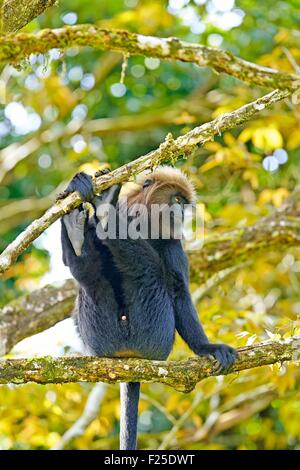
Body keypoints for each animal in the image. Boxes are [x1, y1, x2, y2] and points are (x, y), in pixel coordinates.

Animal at [59, 167, 236, 450]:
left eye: (184, 204)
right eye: (177, 201)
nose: (182, 213)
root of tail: (128, 356)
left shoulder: (173, 244)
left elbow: (179, 292)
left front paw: (206, 347)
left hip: (154, 337)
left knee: (150, 273)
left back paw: (104, 213)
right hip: (98, 339)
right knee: (90, 278)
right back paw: (79, 232)